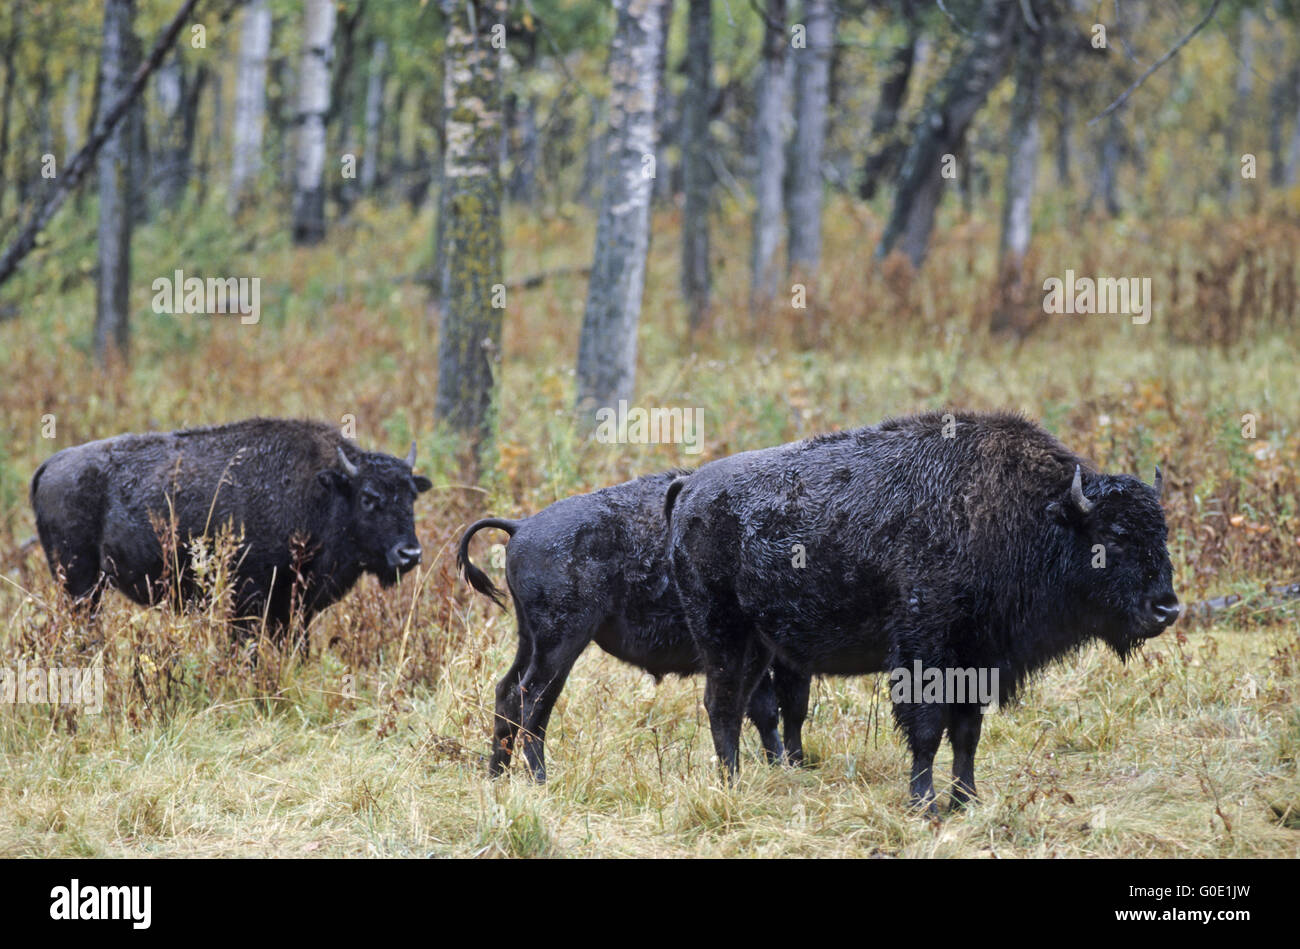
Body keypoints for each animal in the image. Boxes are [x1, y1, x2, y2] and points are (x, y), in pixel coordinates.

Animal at [30, 416, 431, 642]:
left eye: (412, 495)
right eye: (368, 497)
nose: (409, 553)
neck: (323, 490)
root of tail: (51, 464)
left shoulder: (292, 607)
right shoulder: (249, 597)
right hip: (80, 584)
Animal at [452, 470, 806, 780]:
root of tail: (520, 526)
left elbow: (767, 709)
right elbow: (777, 709)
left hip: (529, 638)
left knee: (507, 692)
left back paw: (496, 776)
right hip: (561, 642)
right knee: (532, 698)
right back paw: (541, 779)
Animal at [665, 410, 1185, 811]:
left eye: (1162, 533)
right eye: (1113, 536)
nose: (1167, 608)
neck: (1031, 515)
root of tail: (689, 487)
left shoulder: (978, 660)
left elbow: (967, 733)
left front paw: (966, 801)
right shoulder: (925, 653)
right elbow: (928, 729)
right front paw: (925, 805)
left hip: (758, 644)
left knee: (741, 704)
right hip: (721, 633)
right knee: (722, 705)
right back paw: (730, 785)